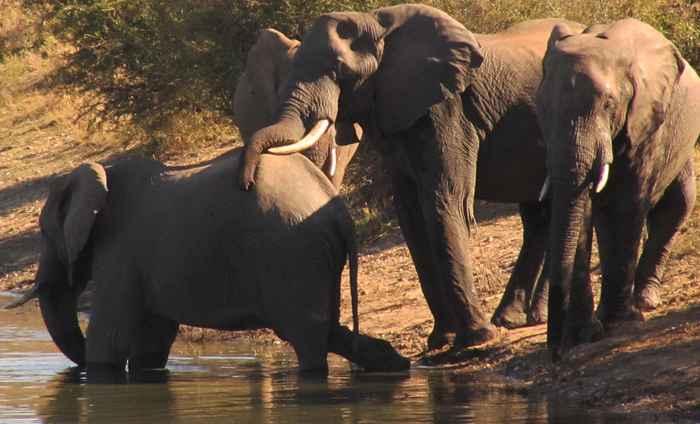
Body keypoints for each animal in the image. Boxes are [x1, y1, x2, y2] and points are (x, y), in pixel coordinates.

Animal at [5, 149, 410, 376]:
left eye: (44, 232)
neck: (102, 173)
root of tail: (338, 209)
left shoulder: (120, 249)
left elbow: (111, 337)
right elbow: (151, 341)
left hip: (292, 253)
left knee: (307, 336)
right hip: (312, 256)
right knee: (329, 330)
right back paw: (396, 365)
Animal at [537, 19, 700, 360]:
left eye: (608, 104)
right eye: (542, 107)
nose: (555, 353)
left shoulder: (646, 119)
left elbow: (629, 203)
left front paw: (618, 322)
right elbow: (583, 207)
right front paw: (585, 335)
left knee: (677, 205)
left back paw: (644, 301)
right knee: (606, 218)